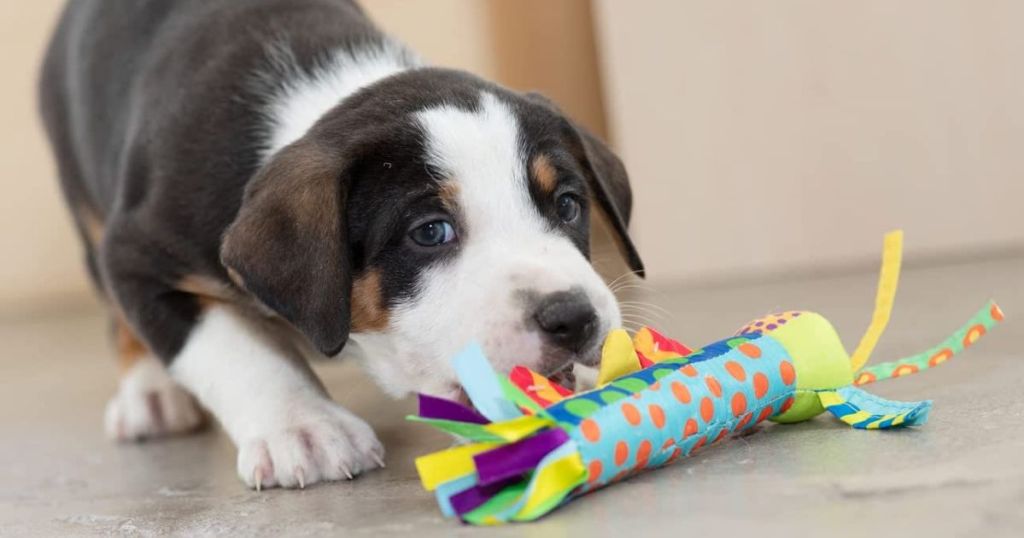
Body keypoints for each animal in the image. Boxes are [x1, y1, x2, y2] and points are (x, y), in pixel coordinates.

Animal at [44, 0, 643, 485]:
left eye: (567, 205)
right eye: (430, 232)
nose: (573, 317)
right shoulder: (140, 256)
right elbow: (230, 346)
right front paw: (302, 427)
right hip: (84, 201)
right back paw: (150, 393)